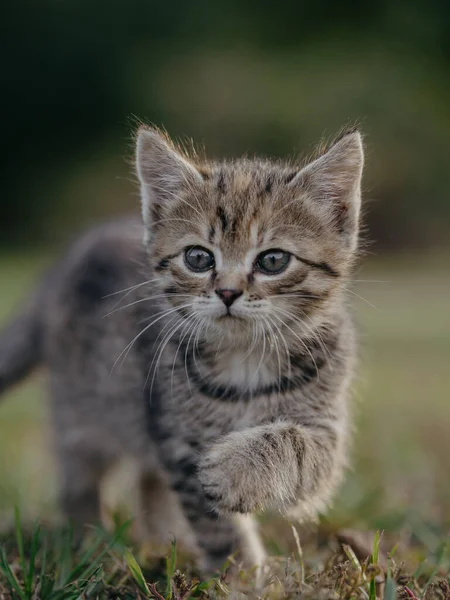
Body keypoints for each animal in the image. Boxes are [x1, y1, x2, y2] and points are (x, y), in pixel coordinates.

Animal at [0, 126, 366, 572]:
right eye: (197, 258)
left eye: (273, 260)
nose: (227, 292)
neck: (244, 358)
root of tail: (61, 267)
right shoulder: (177, 436)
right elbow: (215, 522)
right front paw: (242, 575)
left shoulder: (326, 428)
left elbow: (295, 445)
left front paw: (236, 471)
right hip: (80, 410)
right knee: (80, 475)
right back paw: (89, 543)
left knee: (148, 479)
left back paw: (163, 540)